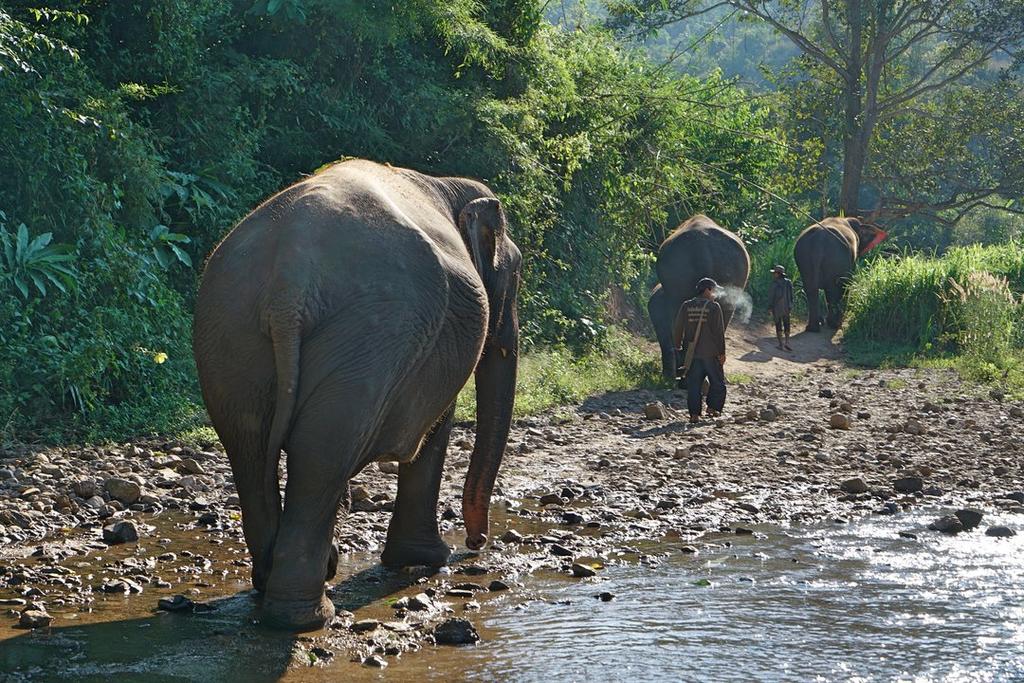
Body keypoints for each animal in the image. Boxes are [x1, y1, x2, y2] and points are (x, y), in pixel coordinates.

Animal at [192, 159, 521, 631]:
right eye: (515, 277)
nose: (477, 543)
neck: (447, 184)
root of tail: (289, 284)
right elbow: (436, 424)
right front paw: (429, 560)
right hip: (372, 336)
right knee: (321, 457)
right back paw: (307, 616)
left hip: (229, 331)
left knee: (250, 448)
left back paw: (277, 583)